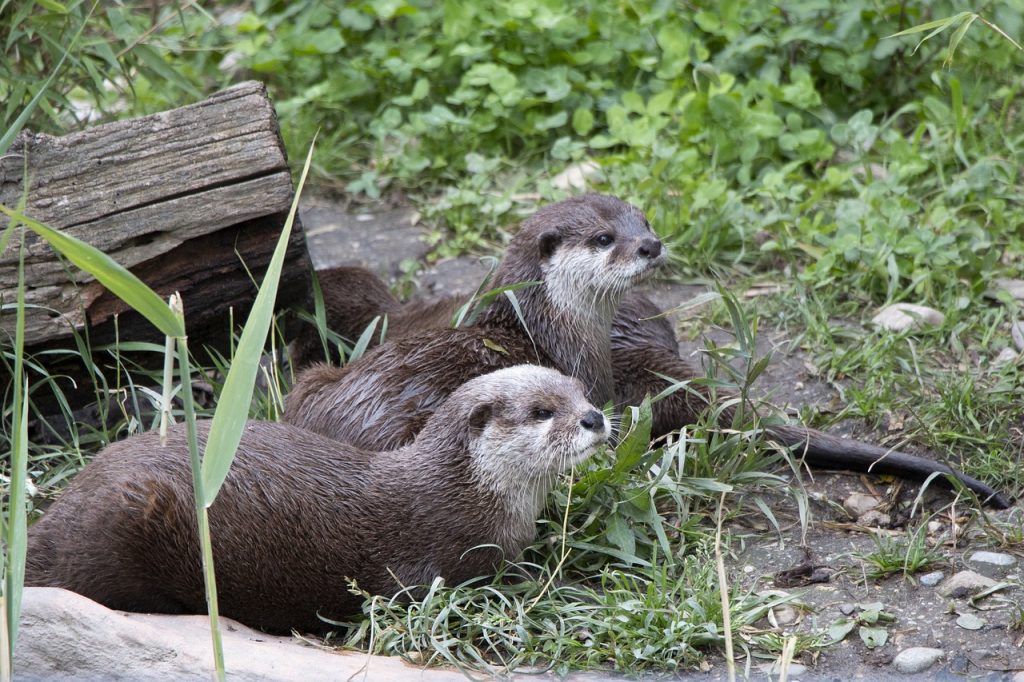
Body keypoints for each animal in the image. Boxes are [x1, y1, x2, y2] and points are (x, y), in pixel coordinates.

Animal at [22, 364, 606, 634]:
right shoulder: (441, 563)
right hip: (126, 518)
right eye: (542, 410)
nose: (595, 418)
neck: (461, 498)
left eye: (581, 392)